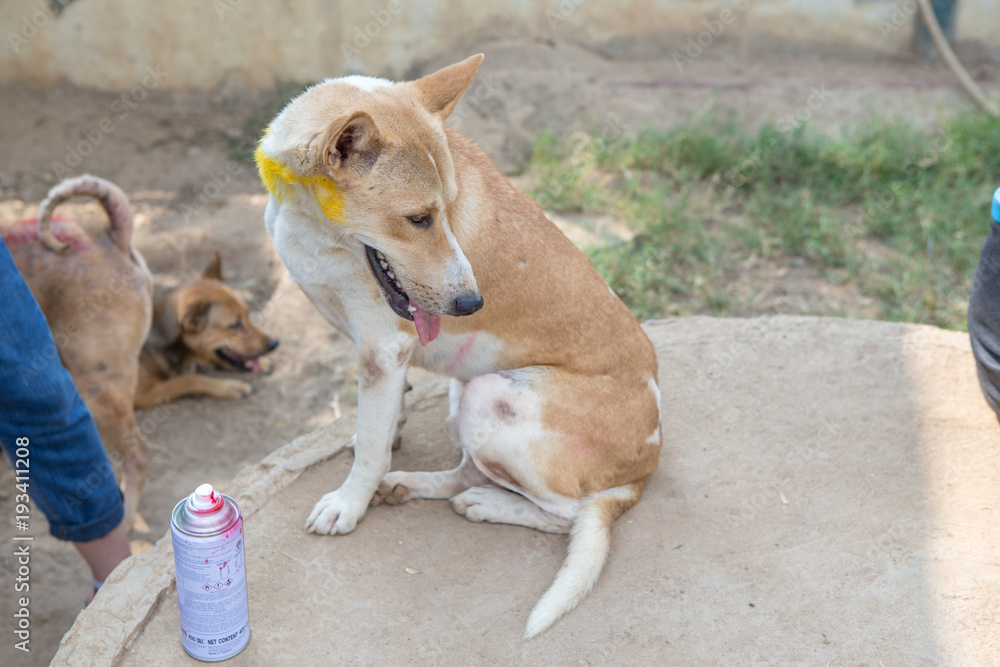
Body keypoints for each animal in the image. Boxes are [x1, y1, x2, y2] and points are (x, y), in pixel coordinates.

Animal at [4, 175, 278, 528]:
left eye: (248, 315)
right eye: (235, 325)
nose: (274, 344)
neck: (163, 327)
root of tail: (110, 237)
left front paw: (258, 366)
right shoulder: (141, 394)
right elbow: (189, 380)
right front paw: (229, 385)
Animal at [258, 54, 660, 640]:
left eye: (448, 210)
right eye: (419, 218)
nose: (471, 303)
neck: (312, 223)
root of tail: (644, 469)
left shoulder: (382, 349)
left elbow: (370, 445)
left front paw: (349, 504)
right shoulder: (387, 357)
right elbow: (383, 422)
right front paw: (388, 443)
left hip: (490, 397)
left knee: (565, 515)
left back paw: (489, 506)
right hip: (464, 400)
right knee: (469, 470)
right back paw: (418, 487)